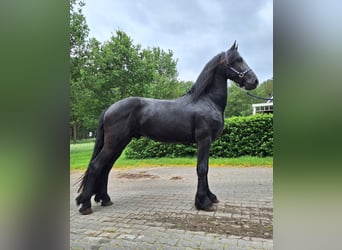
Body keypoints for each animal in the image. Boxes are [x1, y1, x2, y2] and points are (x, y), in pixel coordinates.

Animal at [76, 41, 258, 215]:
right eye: (238, 60)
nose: (254, 81)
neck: (207, 101)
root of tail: (109, 108)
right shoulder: (204, 140)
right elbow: (202, 169)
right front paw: (203, 202)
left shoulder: (207, 142)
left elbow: (205, 168)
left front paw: (210, 197)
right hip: (114, 144)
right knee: (96, 166)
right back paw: (85, 205)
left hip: (118, 145)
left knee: (106, 168)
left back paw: (105, 199)